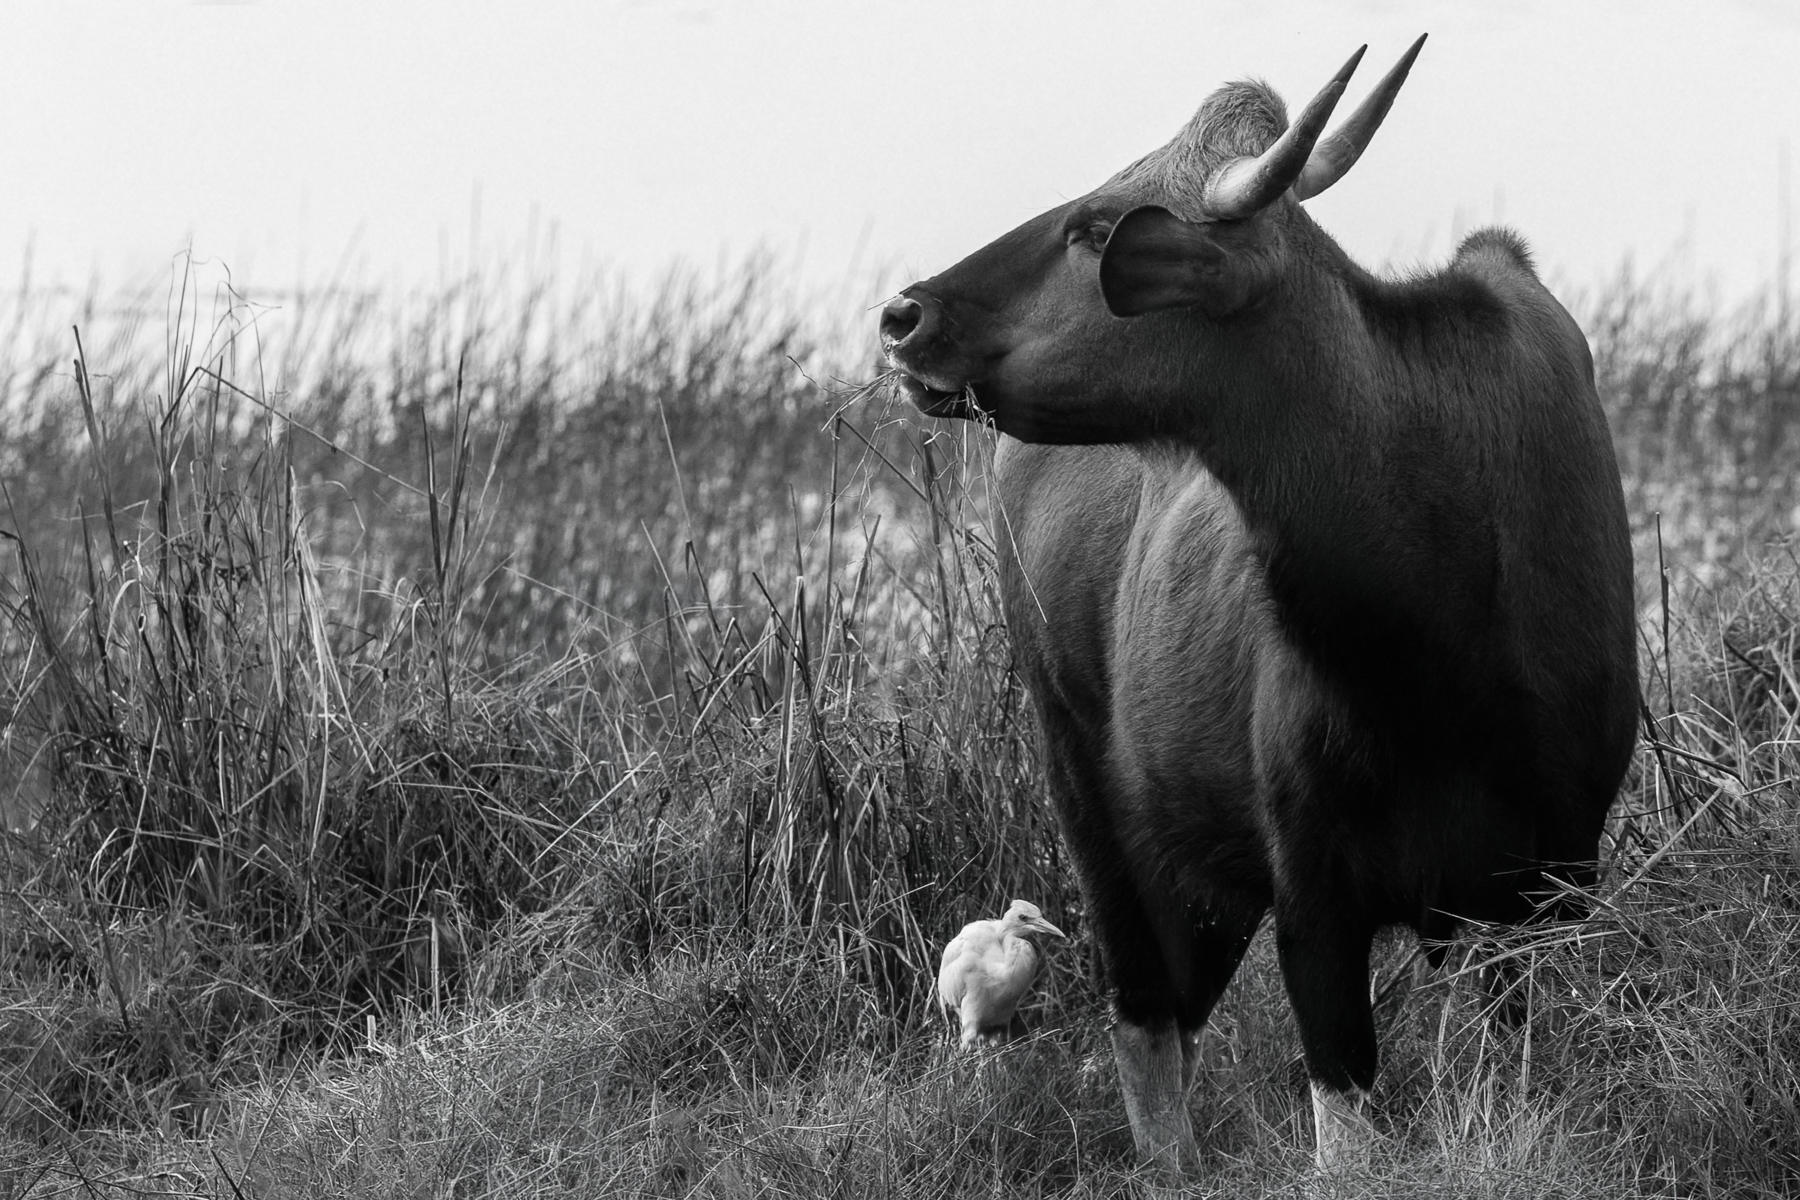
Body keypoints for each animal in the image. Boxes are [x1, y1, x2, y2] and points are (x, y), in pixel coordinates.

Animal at [879, 38, 1638, 1180]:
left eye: (1094, 225)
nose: (904, 315)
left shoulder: (1548, 880)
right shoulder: (1314, 888)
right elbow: (1345, 1128)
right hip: (1092, 801)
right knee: (1145, 1029)